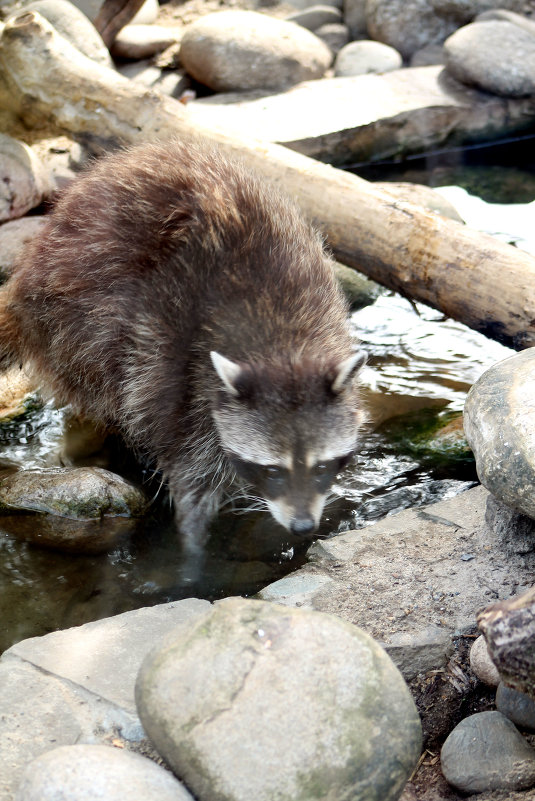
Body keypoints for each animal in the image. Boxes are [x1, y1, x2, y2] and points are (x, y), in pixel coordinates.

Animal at [0, 139, 366, 552]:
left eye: (322, 467)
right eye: (273, 470)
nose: (303, 526)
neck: (284, 344)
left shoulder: (313, 288)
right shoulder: (177, 358)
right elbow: (186, 451)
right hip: (73, 310)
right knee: (104, 372)